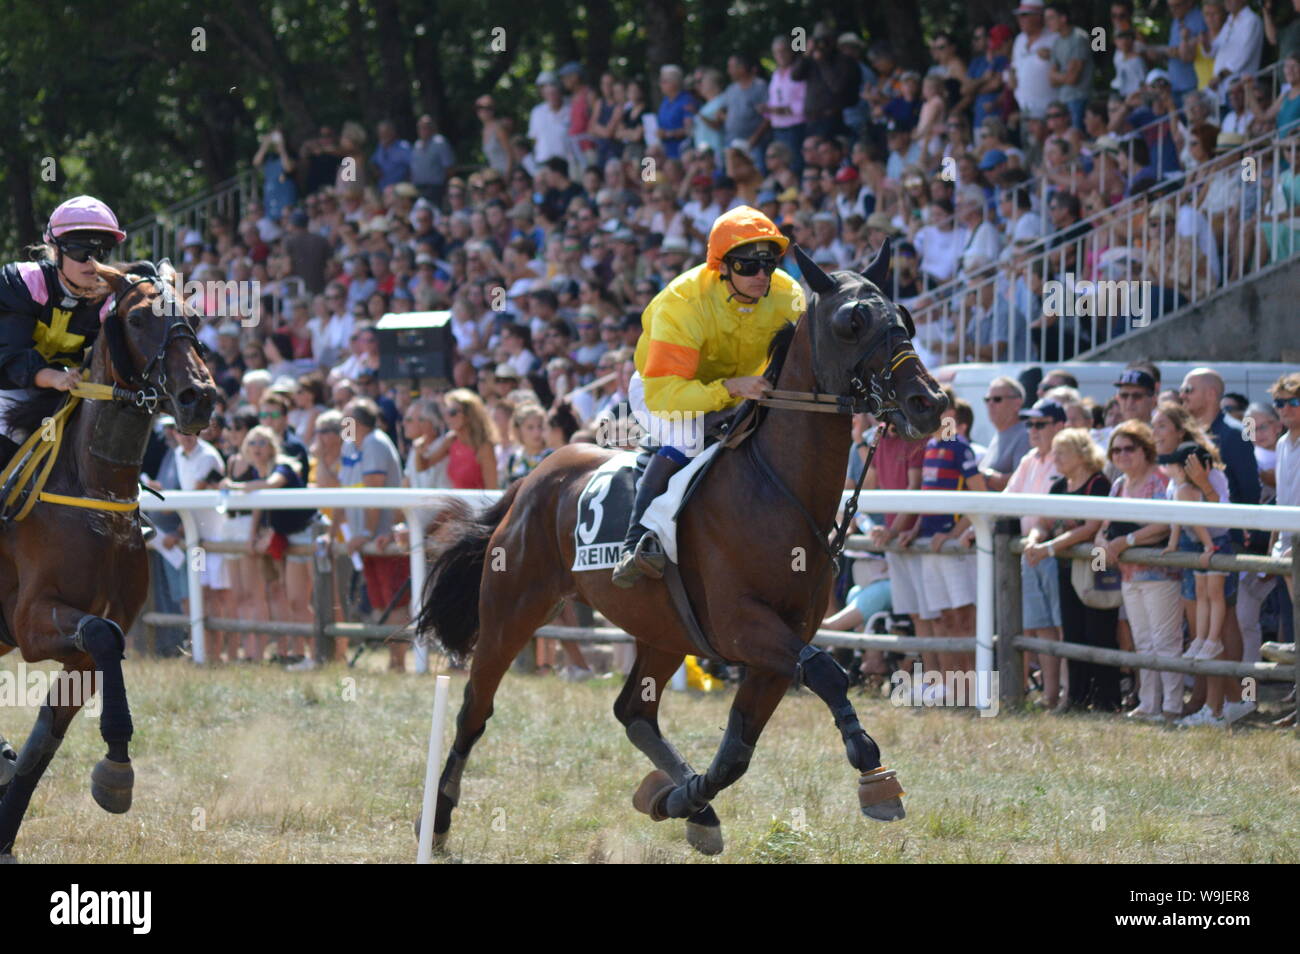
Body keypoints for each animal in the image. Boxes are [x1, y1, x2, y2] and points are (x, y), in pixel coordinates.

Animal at [0, 259, 217, 859]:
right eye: (139, 317)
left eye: (192, 317)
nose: (198, 397)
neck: (94, 488)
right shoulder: (30, 621)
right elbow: (102, 636)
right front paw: (116, 771)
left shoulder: (90, 639)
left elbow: (44, 740)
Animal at [416, 241, 946, 855]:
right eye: (852, 322)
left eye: (904, 319)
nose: (928, 402)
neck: (776, 491)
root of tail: (533, 477)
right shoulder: (743, 627)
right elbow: (827, 673)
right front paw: (872, 772)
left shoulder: (777, 645)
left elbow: (737, 753)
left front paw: (678, 800)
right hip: (510, 610)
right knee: (474, 710)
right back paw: (437, 821)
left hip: (662, 629)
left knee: (633, 711)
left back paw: (693, 805)